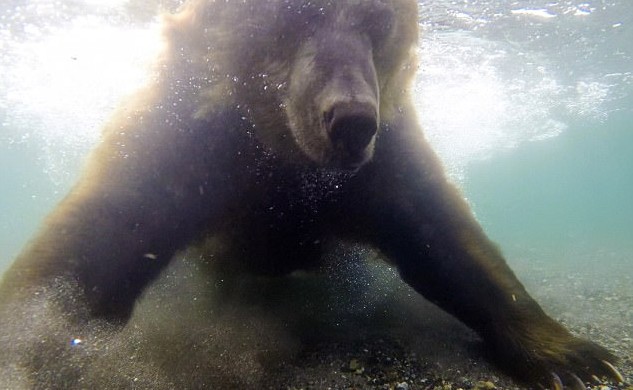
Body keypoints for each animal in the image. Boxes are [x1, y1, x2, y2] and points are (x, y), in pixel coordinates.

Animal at [0, 0, 624, 388]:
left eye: (377, 21)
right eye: (295, 14)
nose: (350, 121)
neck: (279, 150)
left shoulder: (383, 155)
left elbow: (443, 236)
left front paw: (578, 357)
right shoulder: (192, 139)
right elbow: (98, 242)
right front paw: (27, 343)